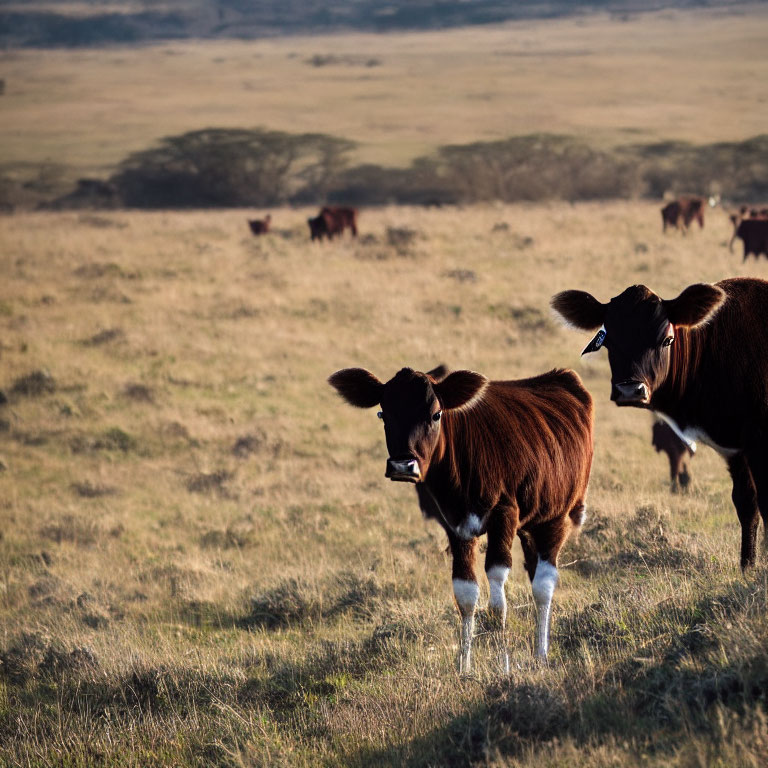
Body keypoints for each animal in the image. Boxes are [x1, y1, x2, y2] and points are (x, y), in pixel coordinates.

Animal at [330, 364, 592, 668]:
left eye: (436, 414)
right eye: (383, 413)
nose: (403, 465)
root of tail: (562, 376)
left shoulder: (504, 513)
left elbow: (497, 602)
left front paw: (502, 666)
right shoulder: (454, 525)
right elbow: (466, 594)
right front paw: (464, 667)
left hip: (557, 516)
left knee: (543, 586)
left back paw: (541, 655)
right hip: (530, 526)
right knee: (534, 572)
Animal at [552, 278, 768, 568]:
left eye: (667, 340)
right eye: (608, 341)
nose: (631, 390)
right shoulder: (735, 448)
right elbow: (746, 503)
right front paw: (748, 567)